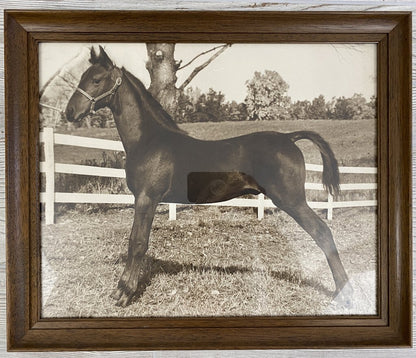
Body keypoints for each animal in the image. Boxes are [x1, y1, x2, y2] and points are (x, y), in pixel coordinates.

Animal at [65, 45, 352, 308]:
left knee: (323, 232)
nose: (69, 112)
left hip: (292, 201)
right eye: (82, 77)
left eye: (96, 79)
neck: (149, 141)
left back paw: (344, 293)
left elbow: (137, 242)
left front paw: (124, 293)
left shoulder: (146, 198)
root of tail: (289, 138)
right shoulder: (144, 199)